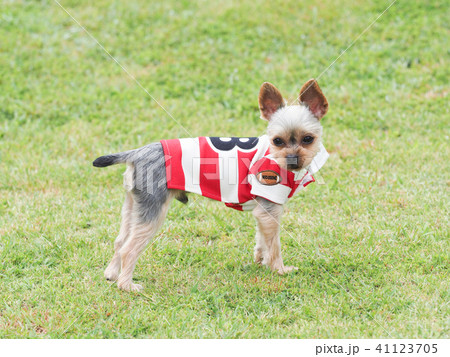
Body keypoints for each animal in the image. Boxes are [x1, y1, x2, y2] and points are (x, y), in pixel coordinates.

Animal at [93, 78, 328, 290]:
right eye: (277, 141)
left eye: (308, 139)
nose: (293, 160)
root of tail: (138, 152)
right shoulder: (270, 207)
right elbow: (275, 244)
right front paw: (279, 269)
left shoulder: (264, 211)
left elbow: (262, 238)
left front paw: (260, 260)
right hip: (154, 212)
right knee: (129, 249)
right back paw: (127, 285)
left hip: (133, 206)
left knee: (120, 241)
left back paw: (112, 274)